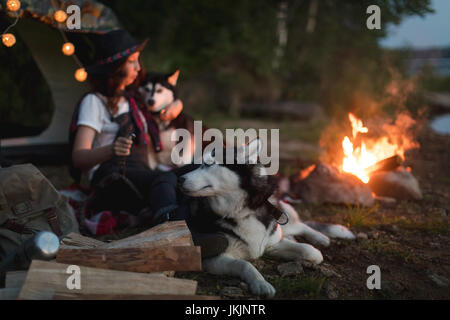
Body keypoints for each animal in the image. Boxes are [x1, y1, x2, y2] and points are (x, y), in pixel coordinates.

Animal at [179, 140, 356, 298]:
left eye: (209, 164)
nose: (180, 179)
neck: (242, 211)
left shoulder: (270, 243)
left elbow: (309, 251)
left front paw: (314, 251)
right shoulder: (214, 258)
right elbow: (245, 264)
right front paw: (261, 284)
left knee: (300, 225)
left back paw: (321, 237)